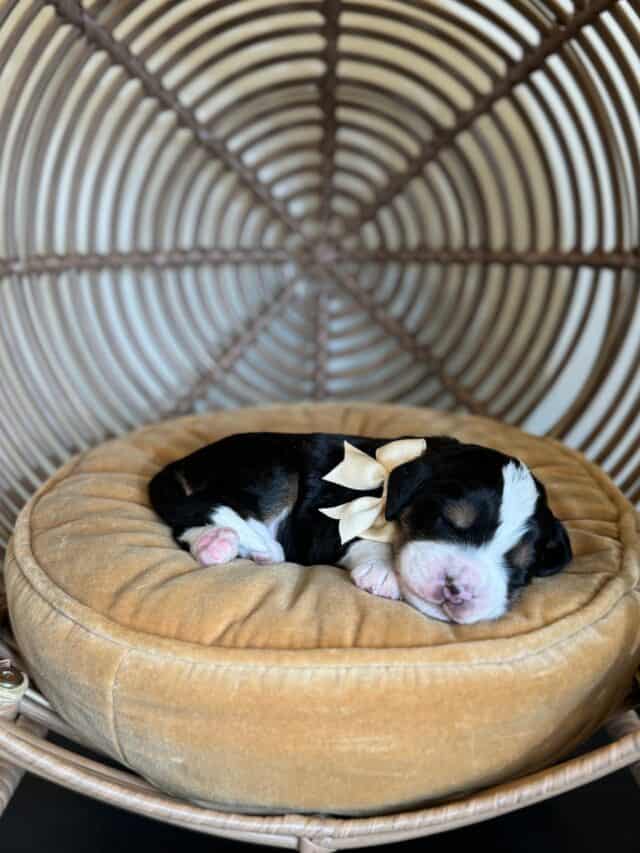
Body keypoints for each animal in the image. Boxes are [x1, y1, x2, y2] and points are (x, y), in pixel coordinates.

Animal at [149, 432, 568, 624]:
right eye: (448, 520)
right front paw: (383, 572)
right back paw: (231, 542)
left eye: (520, 568)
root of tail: (181, 462)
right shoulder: (328, 518)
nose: (457, 589)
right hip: (272, 469)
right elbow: (361, 537)